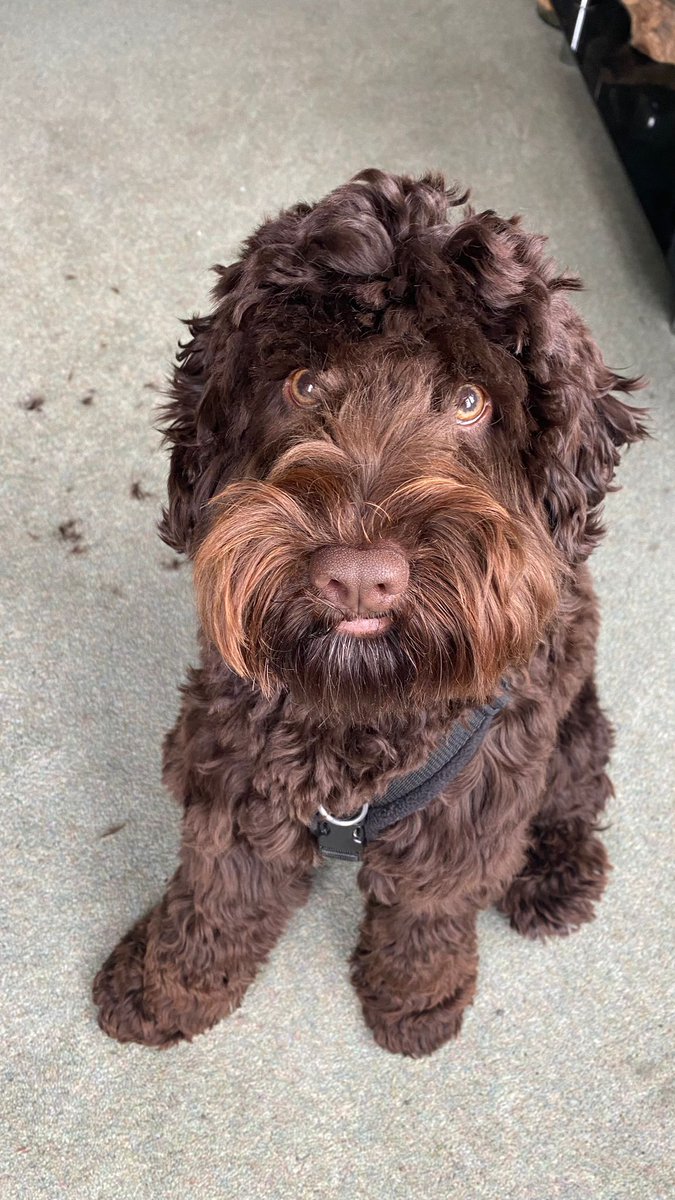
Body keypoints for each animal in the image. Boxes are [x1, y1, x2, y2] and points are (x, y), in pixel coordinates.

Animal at [91, 171, 643, 1060]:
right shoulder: (234, 774)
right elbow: (216, 898)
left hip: (567, 733)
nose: (357, 579)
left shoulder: (469, 810)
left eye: (468, 399)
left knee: (574, 795)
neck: (358, 711)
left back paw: (557, 875)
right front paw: (166, 985)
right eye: (304, 382)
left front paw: (416, 1001)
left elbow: (426, 911)